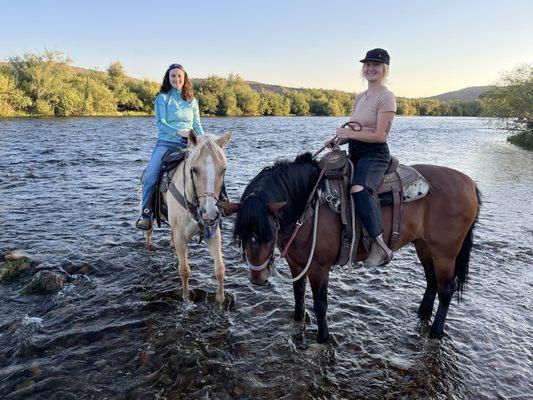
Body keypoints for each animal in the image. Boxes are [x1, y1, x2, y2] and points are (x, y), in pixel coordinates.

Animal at [145, 130, 231, 304]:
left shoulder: (212, 233)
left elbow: (220, 268)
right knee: (148, 230)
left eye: (223, 169)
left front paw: (220, 300)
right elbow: (184, 270)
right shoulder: (181, 237)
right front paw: (185, 299)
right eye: (194, 170)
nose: (209, 213)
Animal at [218, 152, 480, 342]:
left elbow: (320, 304)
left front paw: (323, 337)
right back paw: (422, 313)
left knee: (446, 289)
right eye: (242, 235)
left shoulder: (319, 267)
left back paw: (436, 331)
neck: (308, 205)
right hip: (424, 246)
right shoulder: (296, 263)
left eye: (268, 231)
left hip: (445, 252)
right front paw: (297, 320)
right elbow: (298, 294)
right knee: (432, 281)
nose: (258, 279)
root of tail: (469, 183)